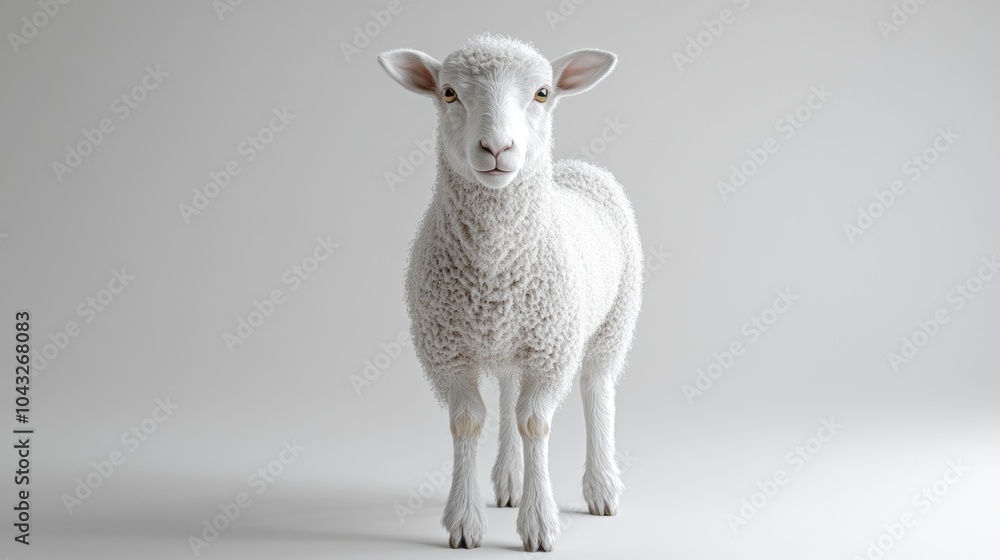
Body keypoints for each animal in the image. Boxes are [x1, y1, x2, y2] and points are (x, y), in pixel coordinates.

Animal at [378, 34, 643, 552]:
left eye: (542, 93)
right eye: (449, 93)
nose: (497, 147)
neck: (493, 271)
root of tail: (577, 168)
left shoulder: (550, 350)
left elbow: (534, 423)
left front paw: (539, 524)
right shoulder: (446, 352)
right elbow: (467, 422)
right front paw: (465, 521)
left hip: (613, 321)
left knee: (596, 389)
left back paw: (601, 486)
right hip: (509, 343)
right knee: (505, 394)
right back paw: (508, 481)